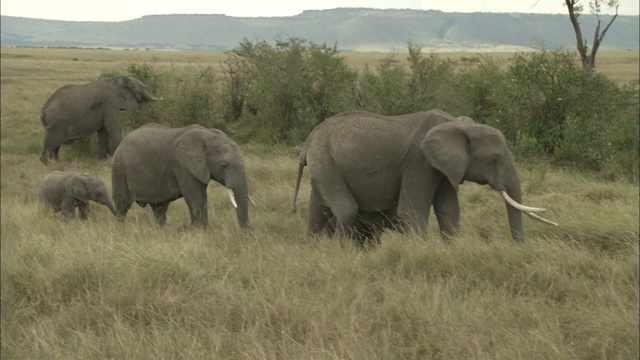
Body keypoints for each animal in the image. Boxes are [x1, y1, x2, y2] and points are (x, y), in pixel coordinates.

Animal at [111, 124, 251, 231]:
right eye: (224, 165)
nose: (248, 233)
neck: (208, 135)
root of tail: (120, 144)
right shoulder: (183, 167)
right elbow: (196, 199)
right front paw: (200, 230)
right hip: (119, 170)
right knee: (122, 206)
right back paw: (122, 231)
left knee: (160, 209)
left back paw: (160, 231)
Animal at [292, 109, 556, 243]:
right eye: (494, 159)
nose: (520, 247)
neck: (460, 126)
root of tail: (309, 140)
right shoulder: (420, 162)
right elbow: (411, 212)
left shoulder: (443, 167)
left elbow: (449, 210)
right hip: (326, 161)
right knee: (346, 209)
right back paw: (340, 250)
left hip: (323, 166)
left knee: (318, 209)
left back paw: (313, 248)